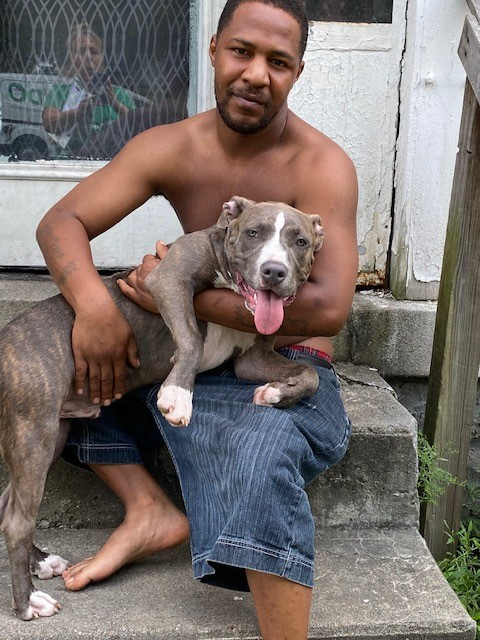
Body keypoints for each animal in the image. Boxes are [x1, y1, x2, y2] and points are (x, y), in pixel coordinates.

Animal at [0, 196, 324, 620]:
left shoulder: (251, 359)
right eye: (254, 232)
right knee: (17, 522)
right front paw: (177, 394)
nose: (274, 271)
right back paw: (27, 603)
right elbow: (192, 338)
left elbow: (310, 374)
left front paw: (275, 394)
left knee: (7, 506)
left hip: (50, 433)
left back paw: (42, 563)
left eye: (300, 241)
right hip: (33, 434)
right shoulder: (168, 278)